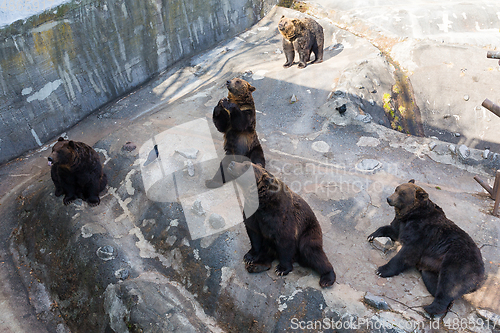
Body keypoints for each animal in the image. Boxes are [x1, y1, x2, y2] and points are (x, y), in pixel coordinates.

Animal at [368, 180, 484, 316]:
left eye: (402, 193)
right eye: (396, 189)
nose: (389, 198)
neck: (412, 215)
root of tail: (481, 276)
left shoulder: (422, 231)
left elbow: (408, 253)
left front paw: (382, 269)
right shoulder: (402, 225)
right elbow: (391, 229)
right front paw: (371, 235)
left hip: (460, 261)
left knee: (449, 283)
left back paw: (431, 307)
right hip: (432, 268)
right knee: (436, 284)